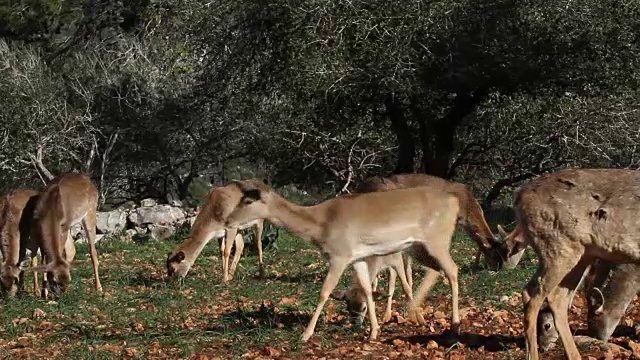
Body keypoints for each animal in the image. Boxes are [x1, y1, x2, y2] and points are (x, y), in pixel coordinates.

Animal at [222, 179, 462, 342]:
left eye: (247, 200)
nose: (227, 219)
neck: (320, 225)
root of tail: (455, 202)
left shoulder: (340, 255)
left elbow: (324, 291)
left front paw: (305, 334)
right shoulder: (358, 257)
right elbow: (366, 289)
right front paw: (373, 332)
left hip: (437, 241)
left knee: (453, 269)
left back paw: (455, 324)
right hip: (420, 248)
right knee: (438, 270)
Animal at [500, 169, 640, 360]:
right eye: (592, 321)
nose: (598, 336)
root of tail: (519, 194)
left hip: (581, 253)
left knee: (557, 297)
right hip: (557, 246)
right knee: (531, 294)